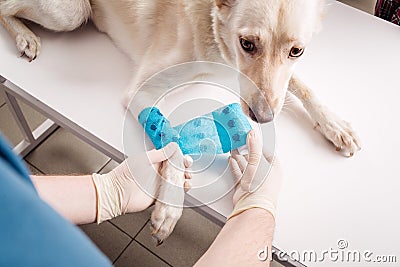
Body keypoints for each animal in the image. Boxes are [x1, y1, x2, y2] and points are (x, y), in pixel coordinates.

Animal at [0, 0, 360, 245]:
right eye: (247, 44)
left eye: (297, 51)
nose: (263, 118)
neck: (216, 34)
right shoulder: (142, 90)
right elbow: (171, 136)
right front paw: (170, 207)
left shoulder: (273, 85)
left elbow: (300, 86)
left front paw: (334, 124)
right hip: (70, 13)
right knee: (7, 7)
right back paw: (25, 37)